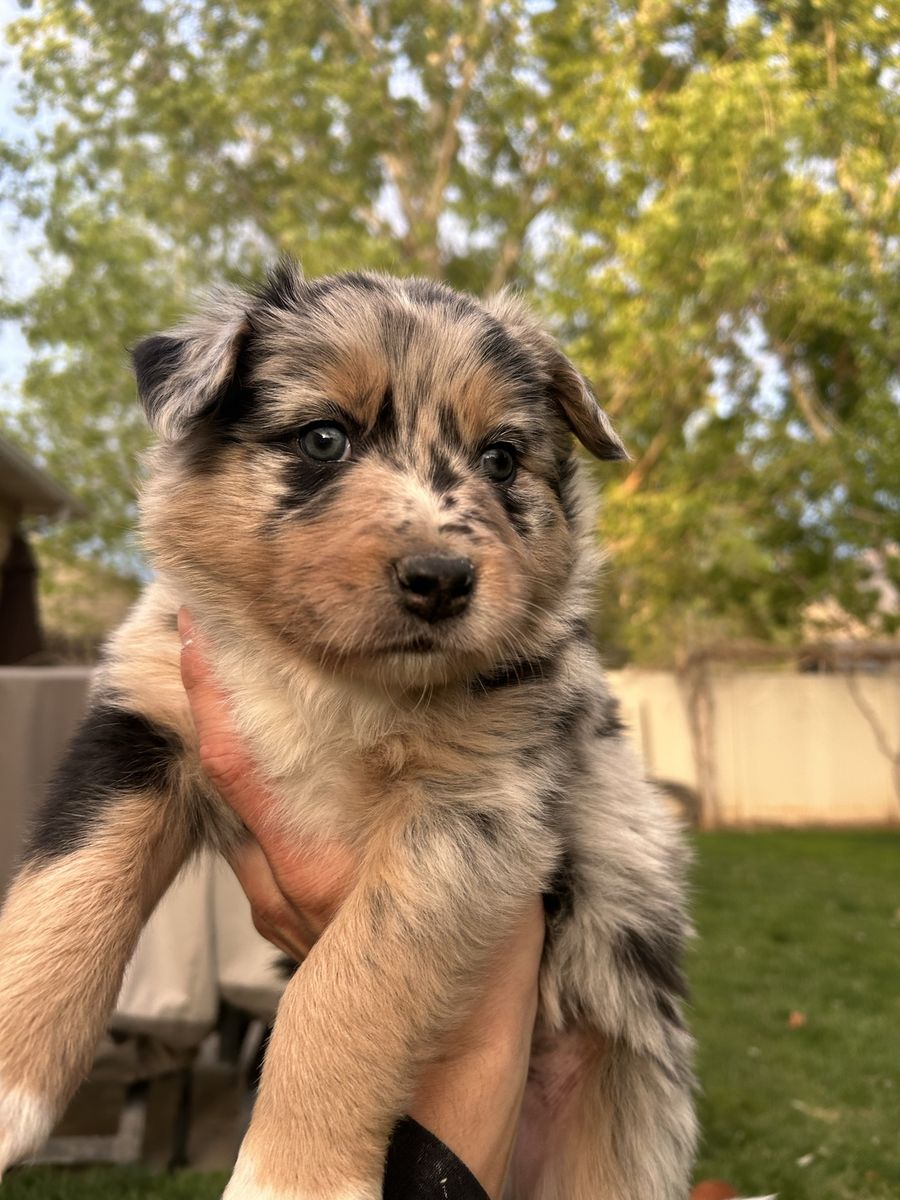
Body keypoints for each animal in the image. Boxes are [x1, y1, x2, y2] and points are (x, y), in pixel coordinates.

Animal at [0, 261, 696, 1199]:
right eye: (324, 438)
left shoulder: (473, 810)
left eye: (501, 458)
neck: (332, 678)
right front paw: (11, 1081)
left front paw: (291, 1175)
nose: (441, 579)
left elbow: (348, 985)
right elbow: (70, 890)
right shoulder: (141, 720)